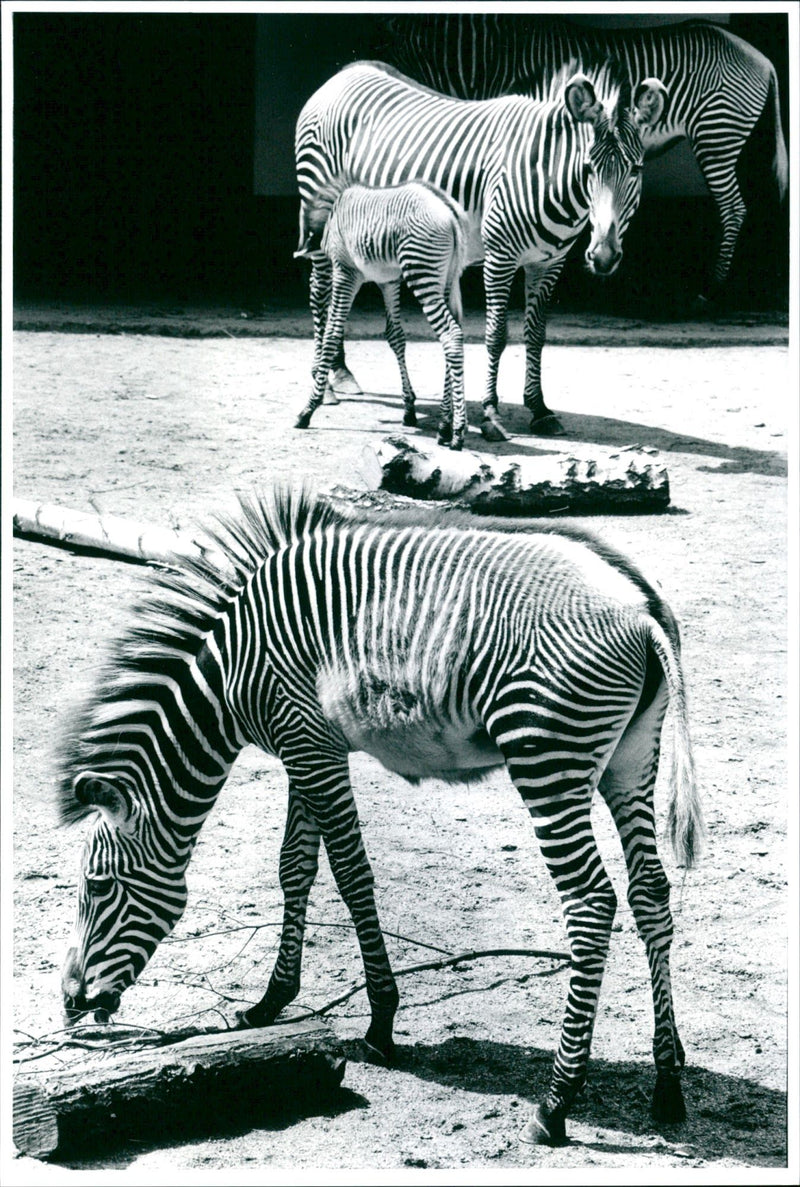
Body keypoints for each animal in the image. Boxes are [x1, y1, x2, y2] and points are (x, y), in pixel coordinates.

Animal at [59, 489, 703, 1147]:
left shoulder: (307, 743)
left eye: (97, 886)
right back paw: (667, 1079)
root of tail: (642, 609)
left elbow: (349, 874)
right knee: (650, 891)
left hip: (547, 755)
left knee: (593, 902)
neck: (229, 671)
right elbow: (295, 867)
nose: (71, 1001)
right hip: (630, 757)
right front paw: (270, 1003)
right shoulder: (308, 747)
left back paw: (555, 1101)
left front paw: (381, 1022)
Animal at [294, 179, 470, 450]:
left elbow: (331, 335)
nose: (310, 279)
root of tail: (450, 212)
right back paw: (444, 425)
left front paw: (308, 409)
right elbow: (395, 336)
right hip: (449, 279)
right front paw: (409, 409)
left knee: (451, 336)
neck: (334, 211)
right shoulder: (389, 281)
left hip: (422, 272)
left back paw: (458, 431)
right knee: (455, 334)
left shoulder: (346, 273)